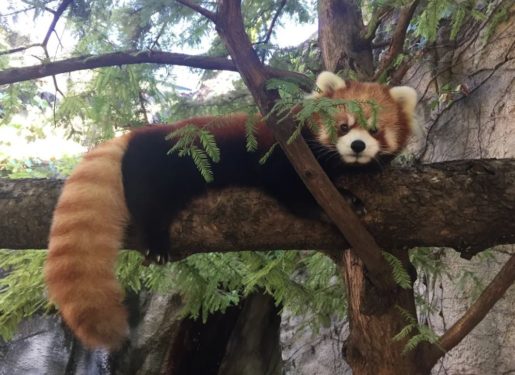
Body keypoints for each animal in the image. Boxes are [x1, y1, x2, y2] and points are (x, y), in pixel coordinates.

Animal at [44, 72, 422, 352]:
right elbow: (294, 191)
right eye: (343, 126)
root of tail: (136, 135)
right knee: (147, 199)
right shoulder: (284, 156)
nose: (357, 146)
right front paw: (337, 203)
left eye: (374, 130)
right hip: (165, 162)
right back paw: (155, 238)